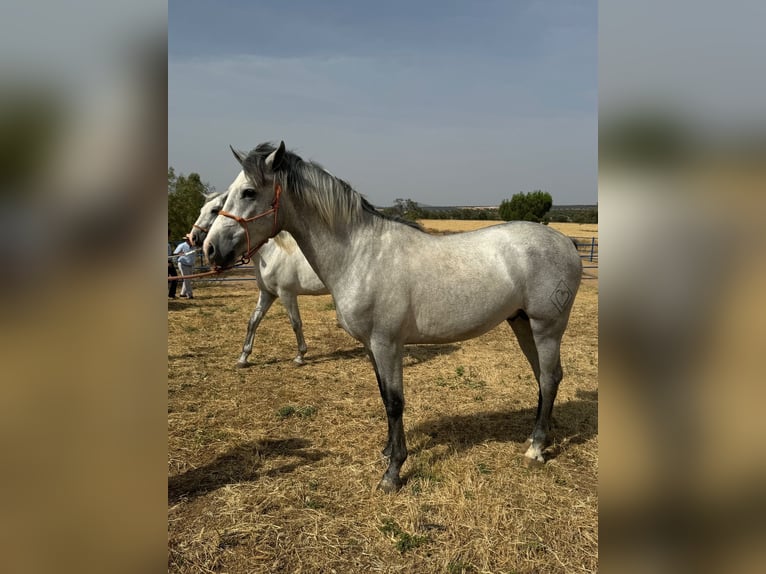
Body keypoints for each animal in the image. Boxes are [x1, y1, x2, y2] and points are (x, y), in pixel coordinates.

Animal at [204, 142, 584, 492]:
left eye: (248, 192)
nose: (210, 249)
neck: (361, 254)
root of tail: (566, 242)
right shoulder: (371, 346)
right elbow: (383, 396)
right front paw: (388, 451)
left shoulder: (387, 344)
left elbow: (394, 401)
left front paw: (393, 472)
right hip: (522, 323)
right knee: (543, 378)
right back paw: (536, 439)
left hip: (546, 328)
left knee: (550, 378)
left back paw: (536, 449)